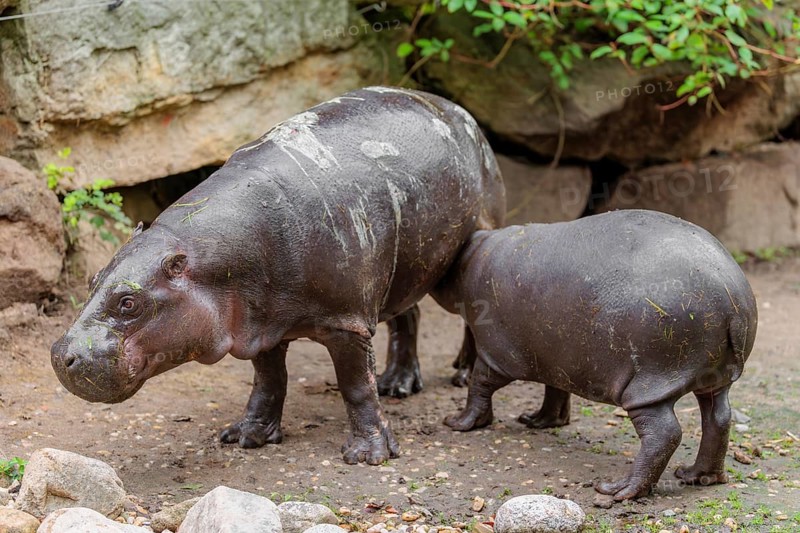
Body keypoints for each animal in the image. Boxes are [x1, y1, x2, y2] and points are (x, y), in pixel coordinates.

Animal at [51, 86, 505, 465]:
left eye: (129, 302)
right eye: (93, 280)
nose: (59, 355)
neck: (202, 261)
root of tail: (457, 110)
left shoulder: (346, 323)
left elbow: (357, 386)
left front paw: (368, 455)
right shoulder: (259, 322)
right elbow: (268, 381)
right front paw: (246, 437)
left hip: (466, 248)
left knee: (468, 312)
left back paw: (461, 374)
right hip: (400, 269)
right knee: (406, 315)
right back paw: (397, 384)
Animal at [433, 210, 757, 499]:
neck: (474, 254)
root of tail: (732, 299)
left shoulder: (496, 354)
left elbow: (479, 385)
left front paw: (458, 423)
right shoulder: (557, 357)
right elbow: (555, 390)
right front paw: (537, 420)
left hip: (649, 383)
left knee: (664, 434)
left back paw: (617, 491)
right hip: (713, 379)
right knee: (718, 418)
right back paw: (696, 476)